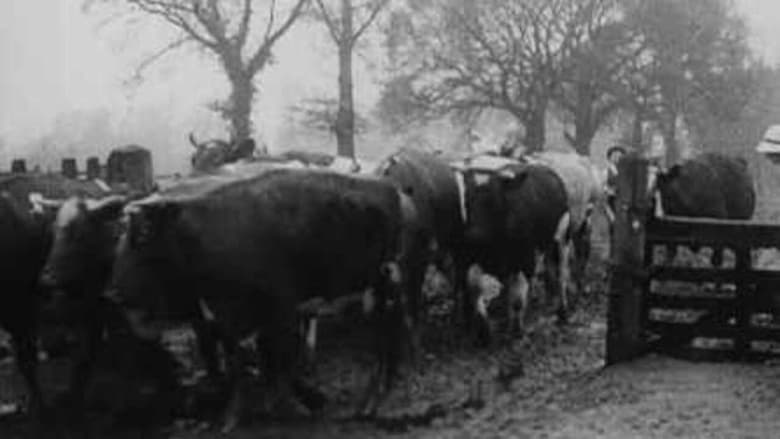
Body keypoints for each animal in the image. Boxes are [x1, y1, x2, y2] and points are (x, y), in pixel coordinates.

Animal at [106, 169, 418, 434]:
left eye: (143, 235)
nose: (115, 294)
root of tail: (395, 191)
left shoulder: (280, 310)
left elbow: (278, 358)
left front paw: (291, 408)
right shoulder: (226, 317)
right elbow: (242, 362)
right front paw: (233, 418)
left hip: (386, 290)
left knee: (387, 340)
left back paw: (375, 405)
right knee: (386, 341)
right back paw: (369, 404)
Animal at [460, 162, 568, 340]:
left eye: (493, 200)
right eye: (467, 201)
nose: (472, 236)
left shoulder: (524, 260)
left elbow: (517, 300)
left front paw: (517, 331)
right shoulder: (475, 259)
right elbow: (474, 289)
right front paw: (483, 331)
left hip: (561, 238)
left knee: (560, 273)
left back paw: (562, 310)